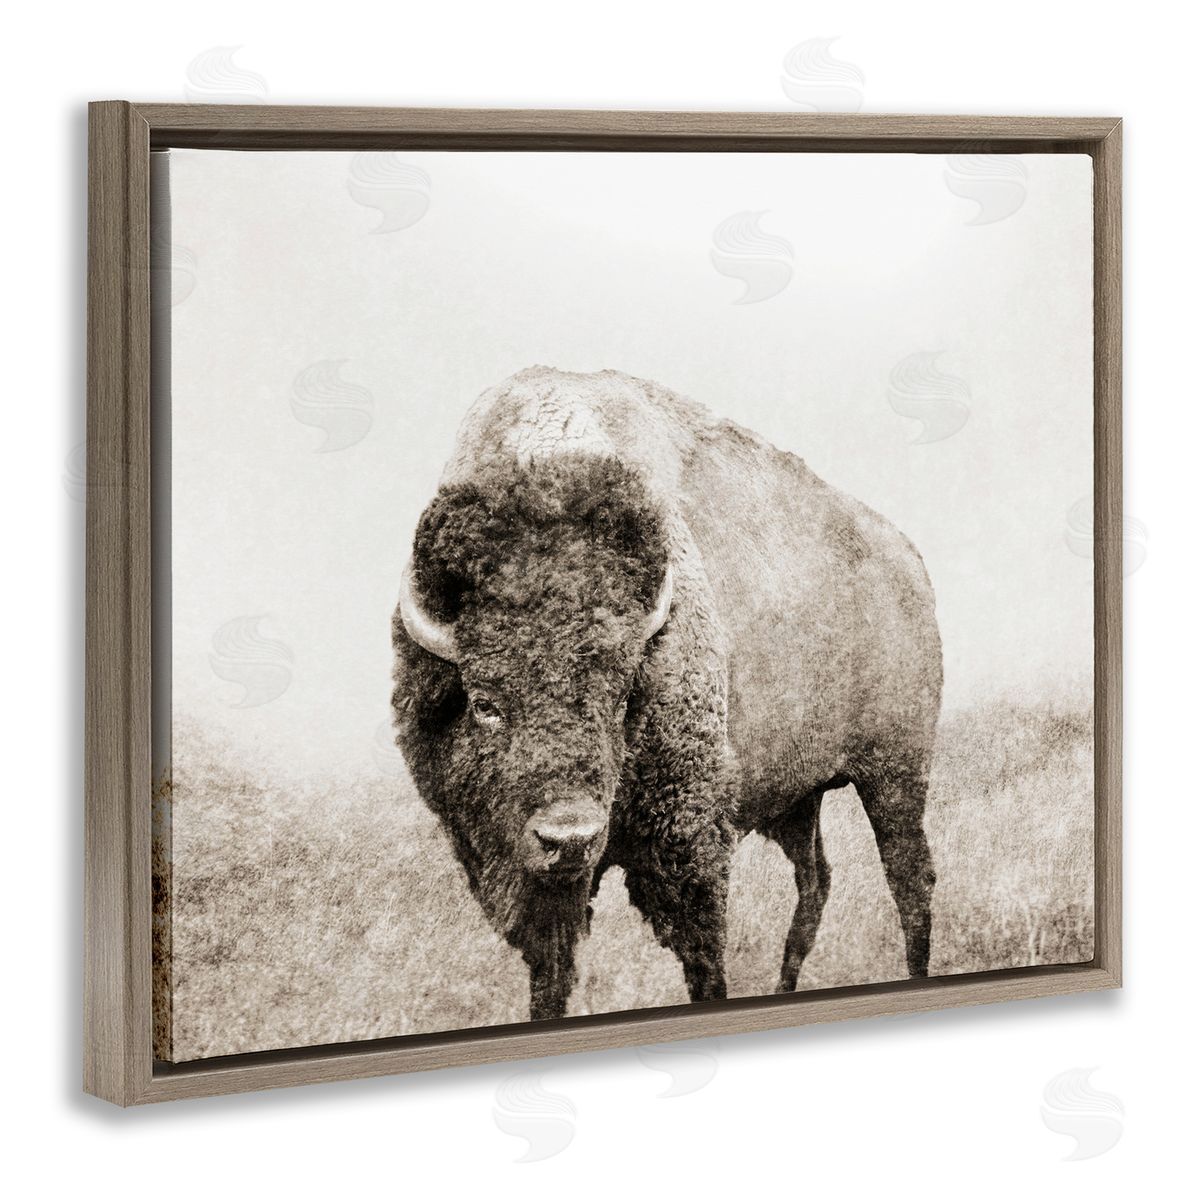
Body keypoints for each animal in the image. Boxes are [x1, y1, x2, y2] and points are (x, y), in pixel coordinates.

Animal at [392, 366, 942, 1020]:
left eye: (620, 695)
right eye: (485, 705)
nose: (570, 839)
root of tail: (909, 558)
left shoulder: (687, 845)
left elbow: (702, 958)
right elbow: (550, 974)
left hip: (895, 774)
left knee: (910, 880)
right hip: (798, 799)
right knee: (816, 882)